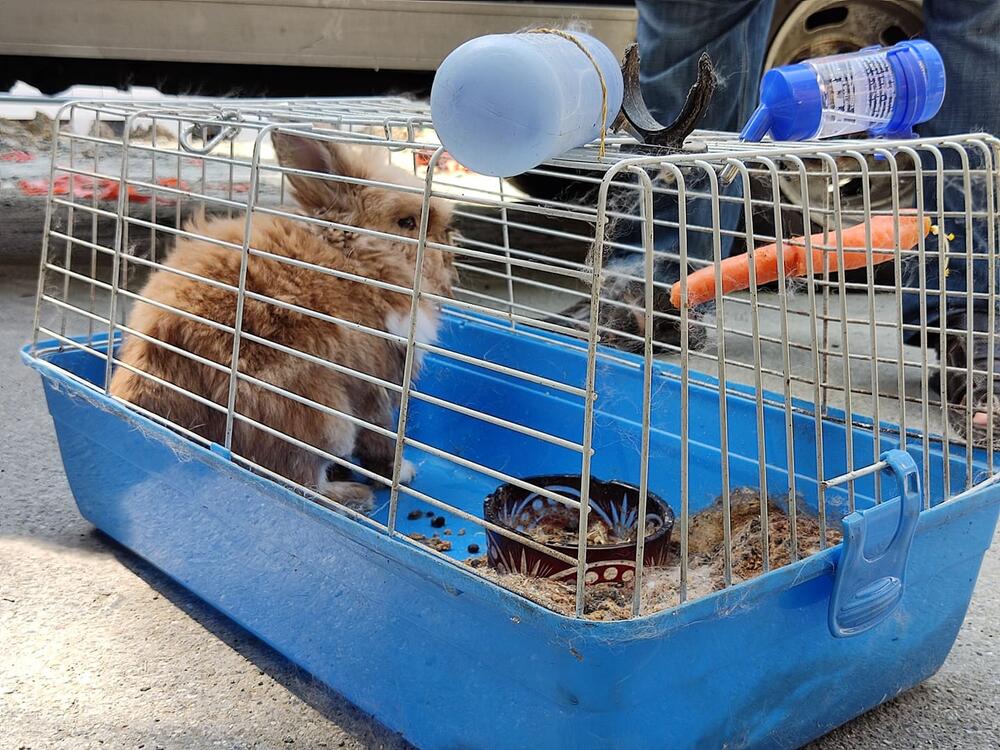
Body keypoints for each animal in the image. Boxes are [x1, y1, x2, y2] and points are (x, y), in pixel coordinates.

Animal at [108, 131, 457, 509]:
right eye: (407, 222)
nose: (449, 248)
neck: (359, 258)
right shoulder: (374, 386)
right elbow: (380, 441)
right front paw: (402, 472)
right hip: (322, 419)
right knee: (298, 481)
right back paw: (353, 495)